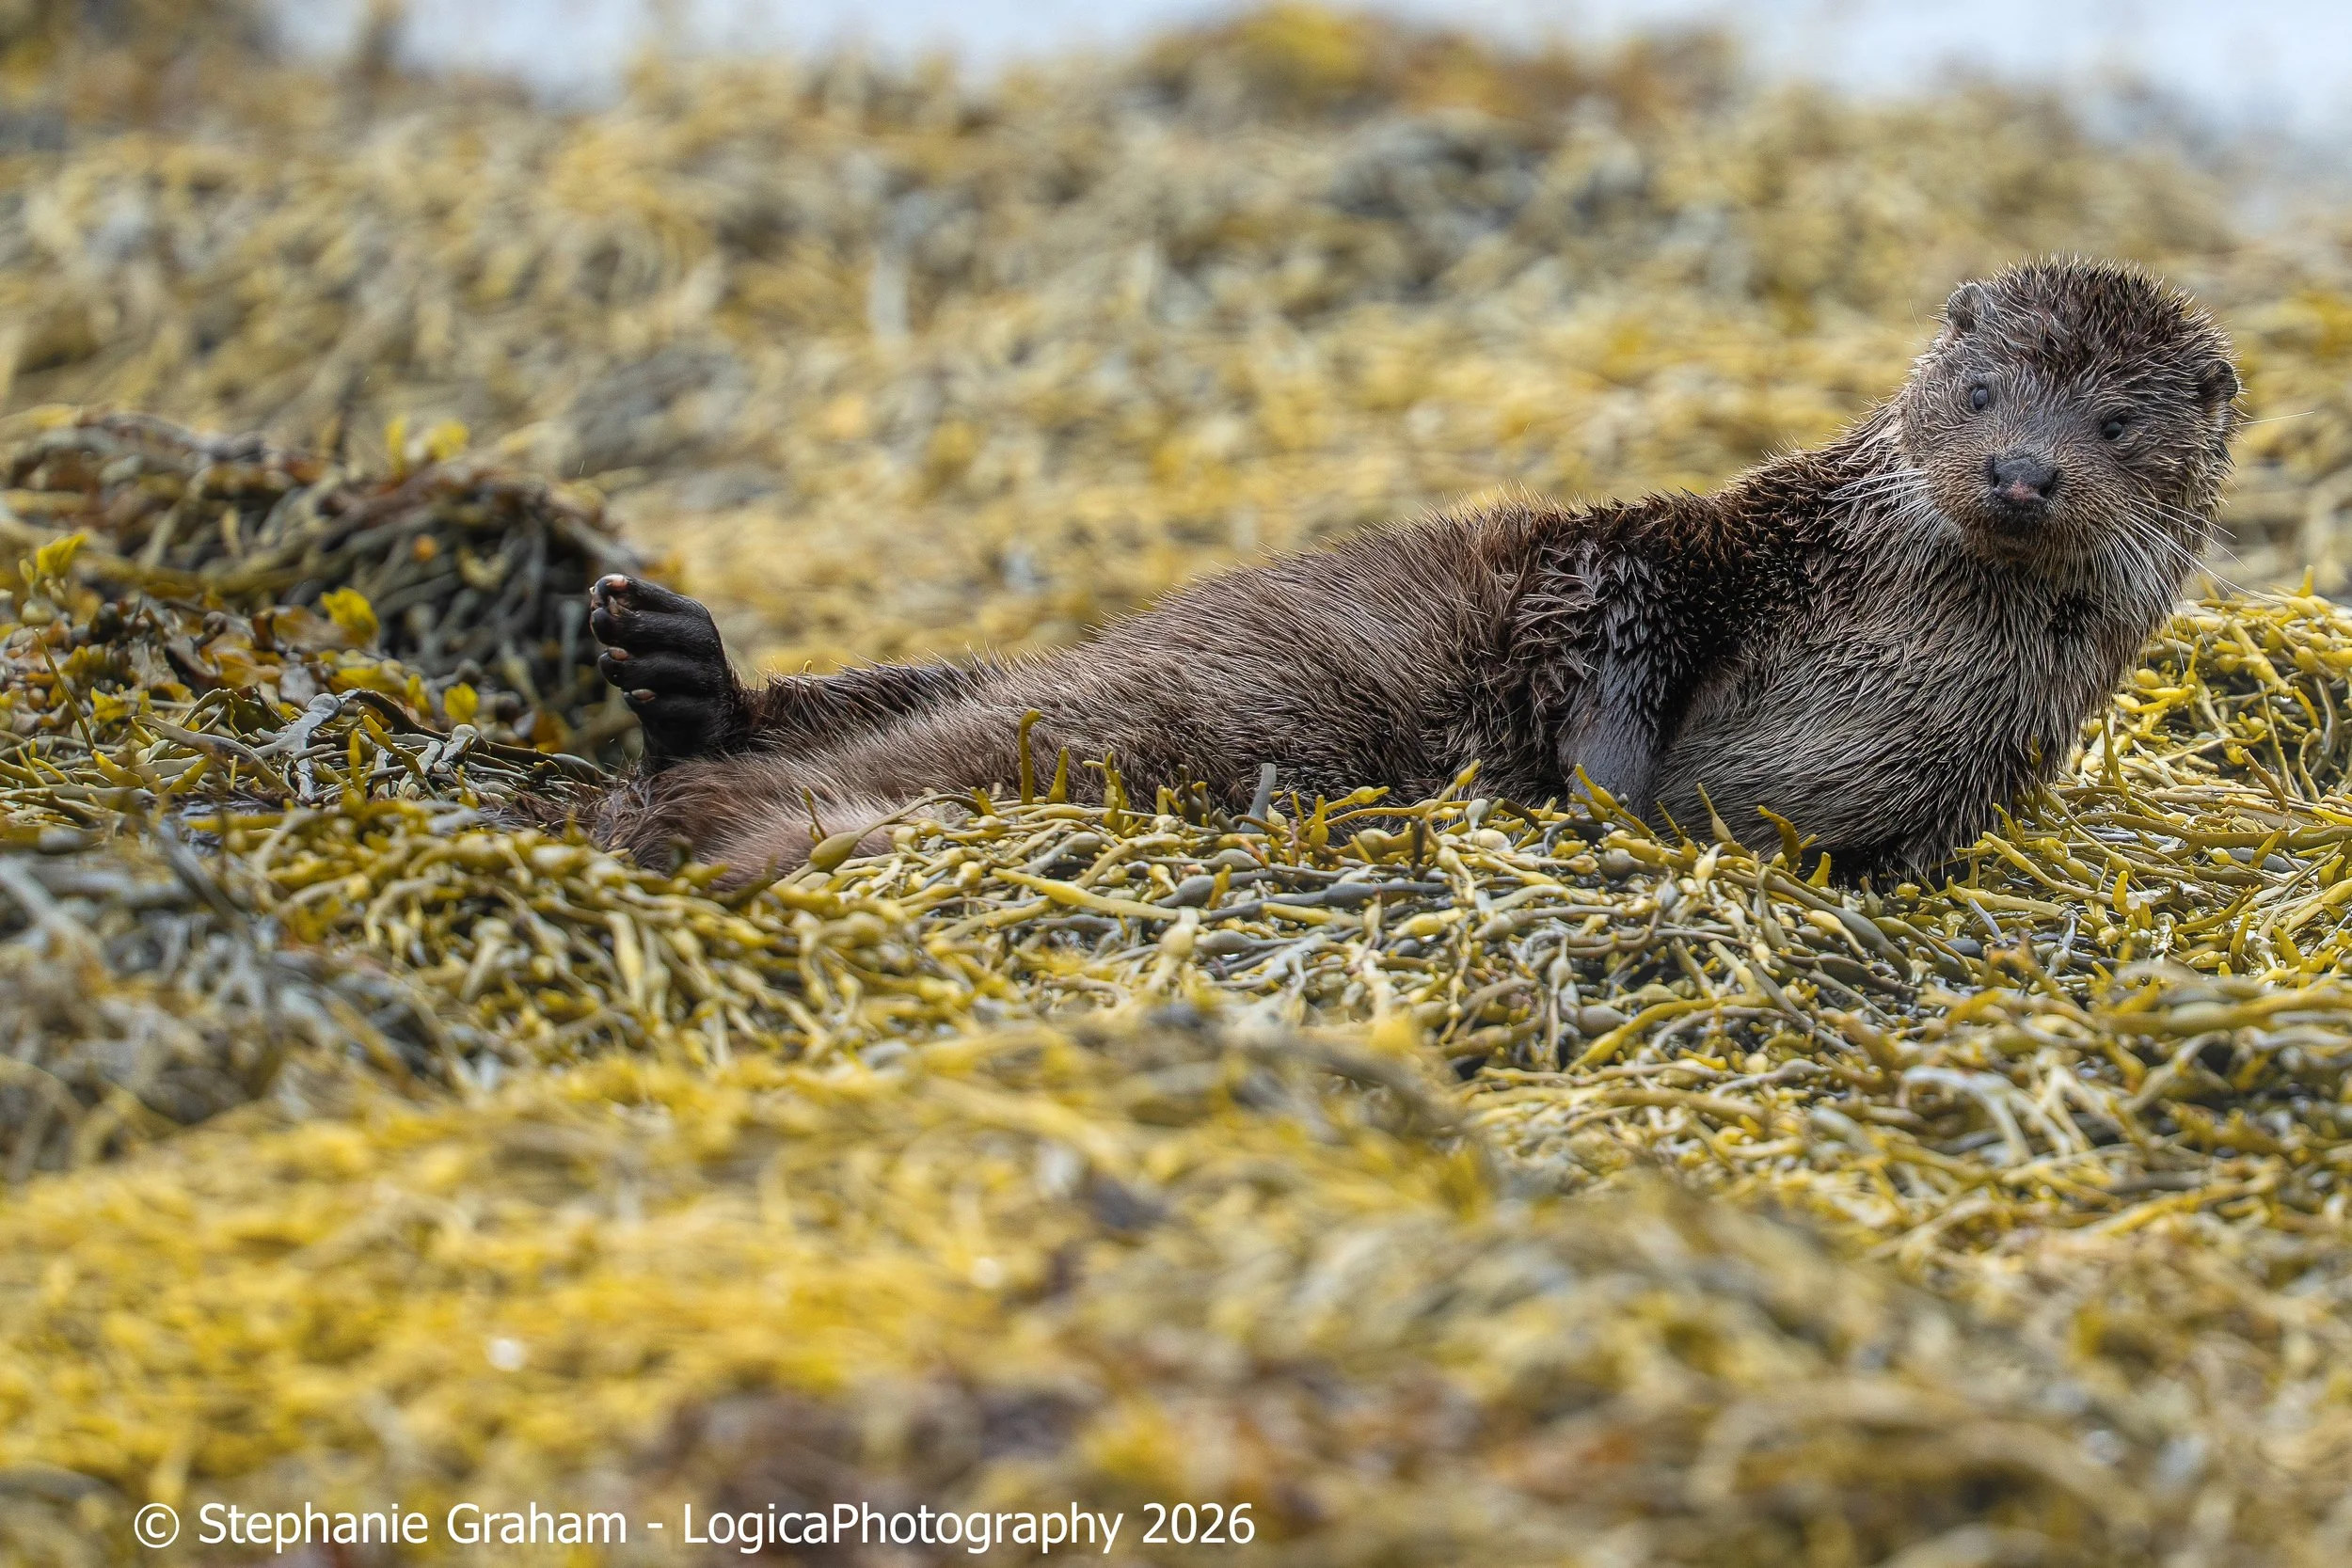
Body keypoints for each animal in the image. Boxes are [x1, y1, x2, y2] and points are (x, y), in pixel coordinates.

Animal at [586, 258, 2239, 880]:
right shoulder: (1682, 547)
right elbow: (1597, 604)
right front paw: (1608, 799)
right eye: (1982, 390)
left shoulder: (1957, 790)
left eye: (2113, 419)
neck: (1886, 665)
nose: (2021, 469)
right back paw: (673, 680)